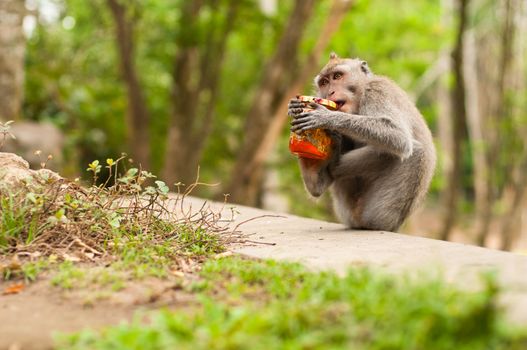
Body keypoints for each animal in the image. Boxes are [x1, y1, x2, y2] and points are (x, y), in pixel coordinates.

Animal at [290, 52, 436, 232]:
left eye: (337, 76)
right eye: (324, 82)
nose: (330, 92)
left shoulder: (377, 90)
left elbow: (398, 136)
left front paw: (326, 117)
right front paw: (294, 108)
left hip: (385, 212)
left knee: (415, 150)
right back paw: (314, 173)